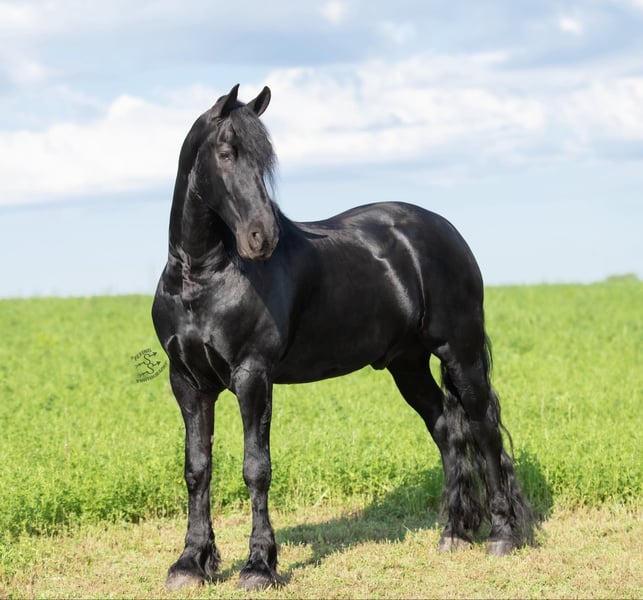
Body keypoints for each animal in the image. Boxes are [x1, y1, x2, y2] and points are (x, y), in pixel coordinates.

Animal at [152, 84, 534, 591]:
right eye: (227, 153)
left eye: (265, 162)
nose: (263, 237)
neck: (203, 278)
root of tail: (444, 230)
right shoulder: (188, 382)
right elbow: (197, 469)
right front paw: (190, 563)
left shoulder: (253, 377)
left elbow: (256, 469)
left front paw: (258, 566)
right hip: (407, 365)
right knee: (448, 431)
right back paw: (453, 533)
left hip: (461, 352)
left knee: (484, 430)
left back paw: (502, 535)